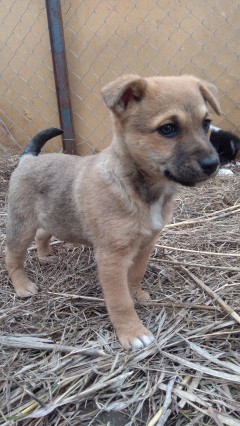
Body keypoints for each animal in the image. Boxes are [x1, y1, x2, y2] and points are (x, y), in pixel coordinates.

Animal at [5, 75, 220, 352]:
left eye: (206, 123)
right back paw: (22, 286)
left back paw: (45, 256)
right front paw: (132, 332)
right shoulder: (112, 257)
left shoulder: (146, 244)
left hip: (50, 218)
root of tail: (28, 158)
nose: (213, 164)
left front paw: (137, 294)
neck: (140, 189)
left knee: (43, 233)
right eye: (168, 129)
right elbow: (119, 301)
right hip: (21, 225)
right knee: (12, 256)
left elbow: (135, 276)